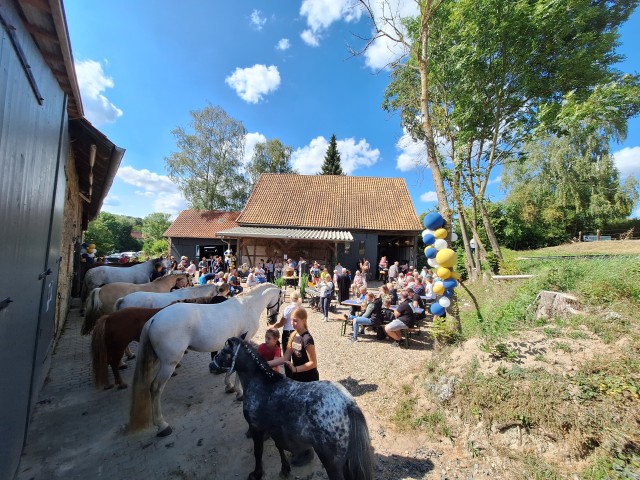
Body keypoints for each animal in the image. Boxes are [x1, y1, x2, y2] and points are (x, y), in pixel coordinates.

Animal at [129, 284, 282, 436]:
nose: (272, 320)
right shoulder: (245, 341)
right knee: (155, 388)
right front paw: (239, 393)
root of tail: (154, 319)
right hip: (168, 365)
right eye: (280, 300)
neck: (247, 306)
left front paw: (229, 386)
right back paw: (162, 425)